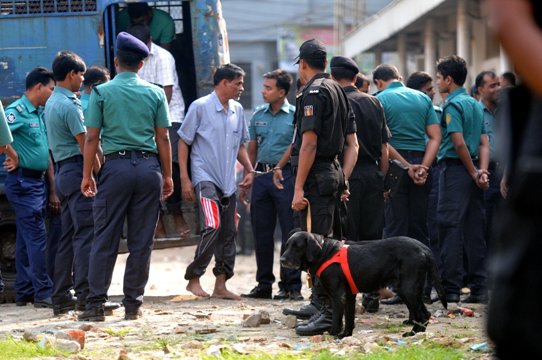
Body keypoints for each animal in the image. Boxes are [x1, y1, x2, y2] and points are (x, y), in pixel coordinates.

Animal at [280, 231, 446, 338]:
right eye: (287, 245)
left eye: (297, 246)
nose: (281, 260)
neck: (325, 253)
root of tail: (424, 247)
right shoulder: (349, 296)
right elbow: (349, 319)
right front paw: (345, 335)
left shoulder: (338, 295)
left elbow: (337, 319)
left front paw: (334, 334)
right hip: (407, 290)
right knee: (424, 313)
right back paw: (417, 333)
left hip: (408, 289)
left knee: (423, 314)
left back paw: (413, 333)